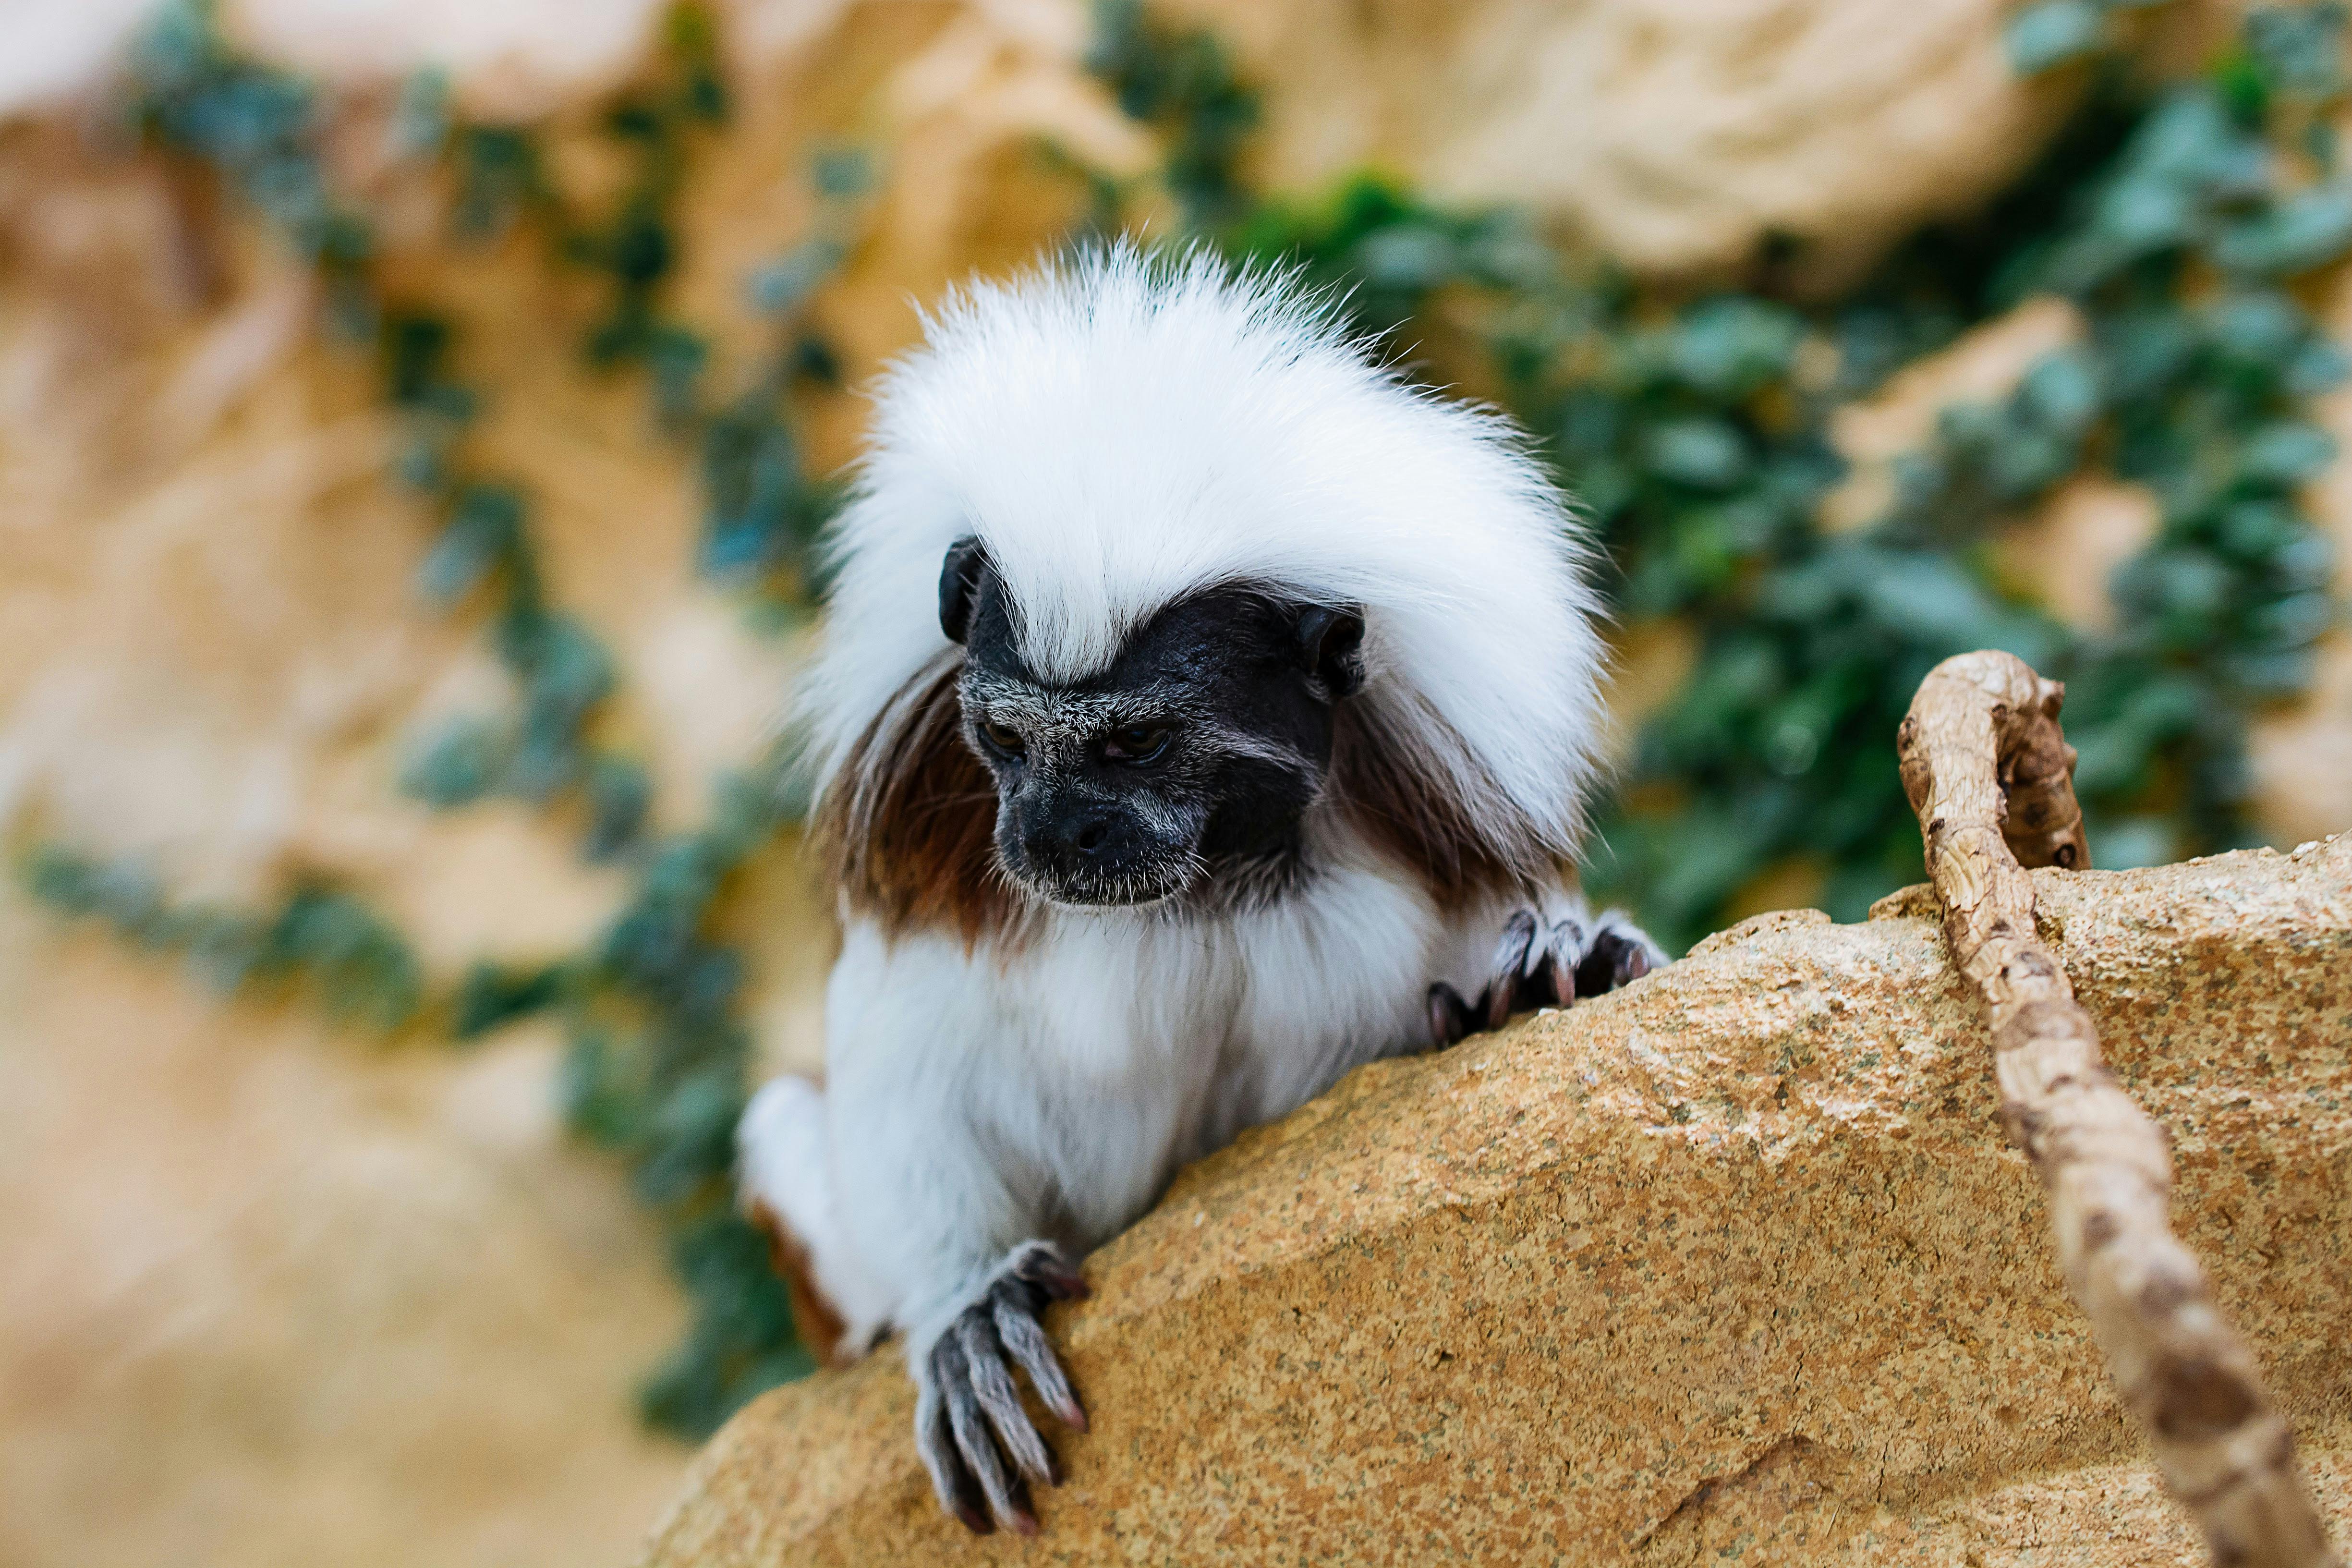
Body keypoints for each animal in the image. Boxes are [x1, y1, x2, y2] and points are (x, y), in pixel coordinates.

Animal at [743, 245, 1665, 1532]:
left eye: (1136, 744)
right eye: (1005, 738)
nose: (1048, 835)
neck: (1209, 889)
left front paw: (1555, 968)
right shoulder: (942, 886)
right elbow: (905, 1093)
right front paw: (966, 1304)